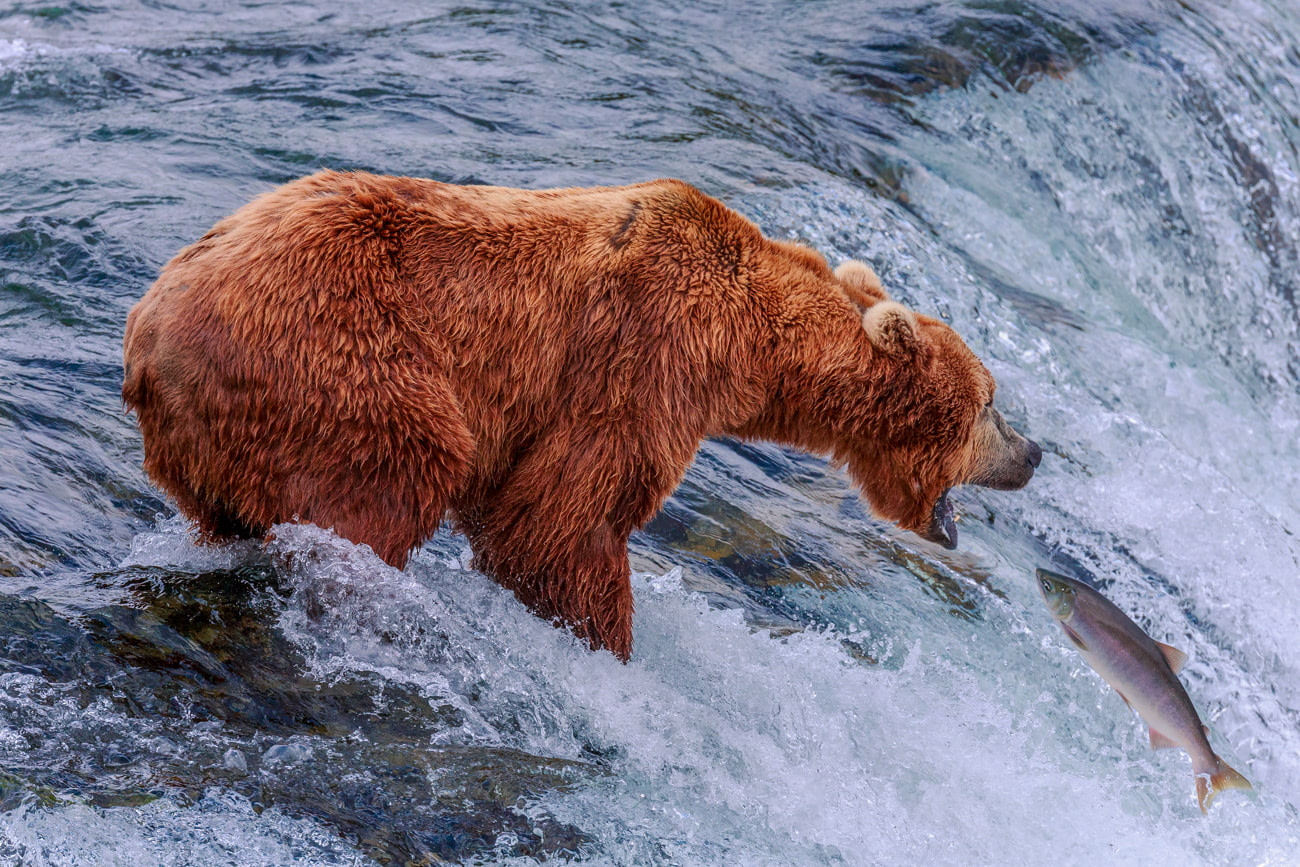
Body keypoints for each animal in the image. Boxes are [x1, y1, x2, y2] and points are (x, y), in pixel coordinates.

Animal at [122, 170, 1041, 661]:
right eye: (992, 400)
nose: (1034, 451)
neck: (752, 346)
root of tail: (146, 330)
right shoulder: (645, 361)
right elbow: (564, 521)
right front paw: (603, 638)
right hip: (335, 359)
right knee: (394, 476)